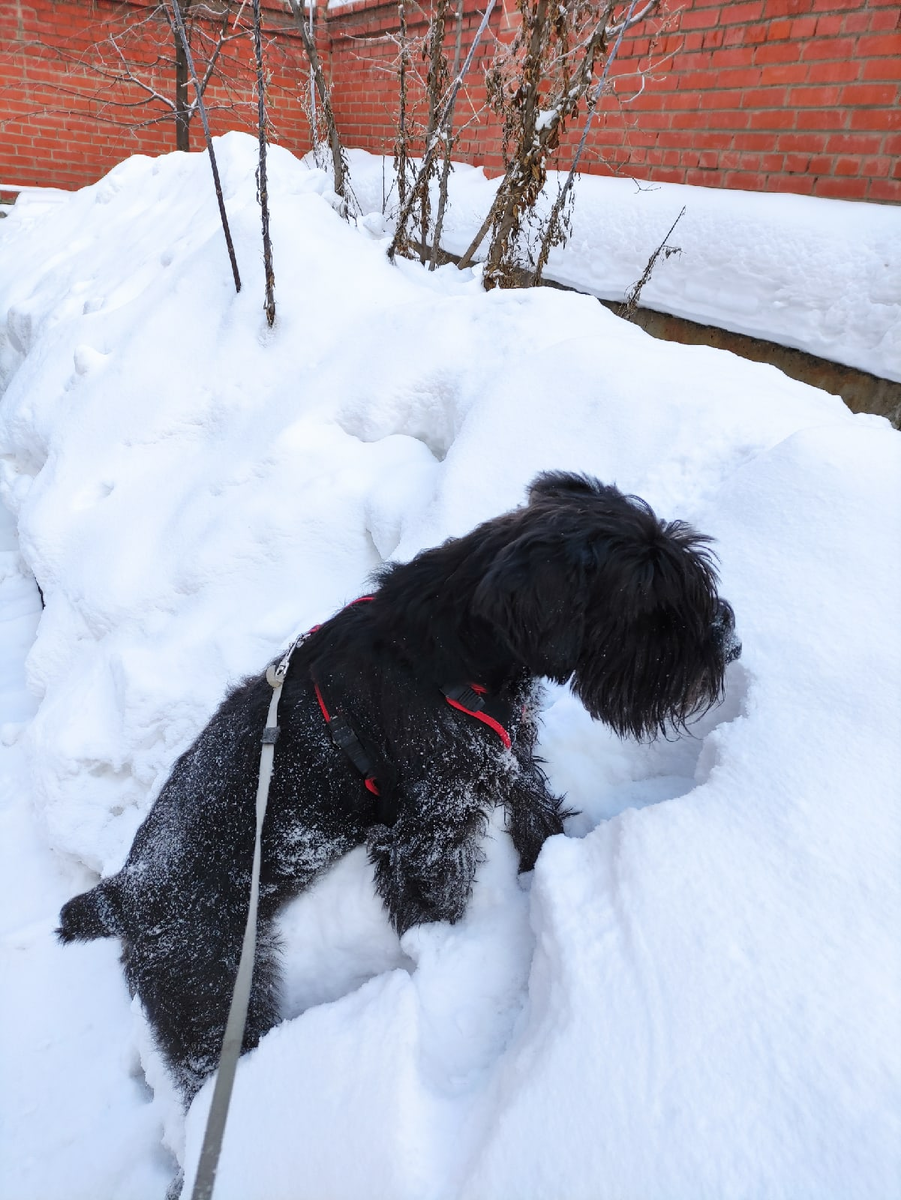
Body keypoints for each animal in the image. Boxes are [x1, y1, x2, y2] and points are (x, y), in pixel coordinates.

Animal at [56, 468, 739, 1099]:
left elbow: (538, 818)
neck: (458, 647)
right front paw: (448, 957)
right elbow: (437, 902)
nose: (727, 647)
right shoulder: (428, 830)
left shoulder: (508, 762)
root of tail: (122, 893)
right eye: (647, 603)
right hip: (209, 994)